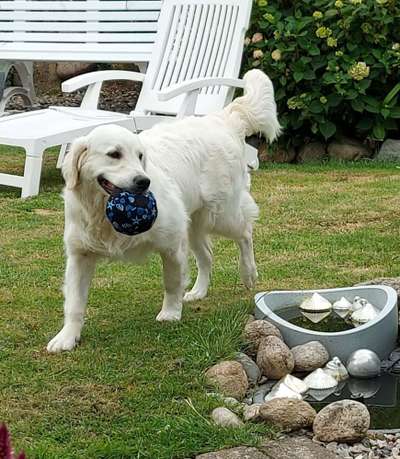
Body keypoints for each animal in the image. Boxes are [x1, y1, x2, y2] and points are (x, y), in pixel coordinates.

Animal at [47, 70, 282, 354]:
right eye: (114, 154)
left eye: (140, 156)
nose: (143, 181)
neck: (102, 213)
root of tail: (221, 119)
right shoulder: (79, 254)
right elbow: (74, 302)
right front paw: (67, 336)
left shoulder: (171, 243)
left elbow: (171, 282)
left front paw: (170, 313)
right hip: (194, 223)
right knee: (208, 256)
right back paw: (199, 291)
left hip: (220, 214)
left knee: (245, 233)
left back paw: (248, 274)